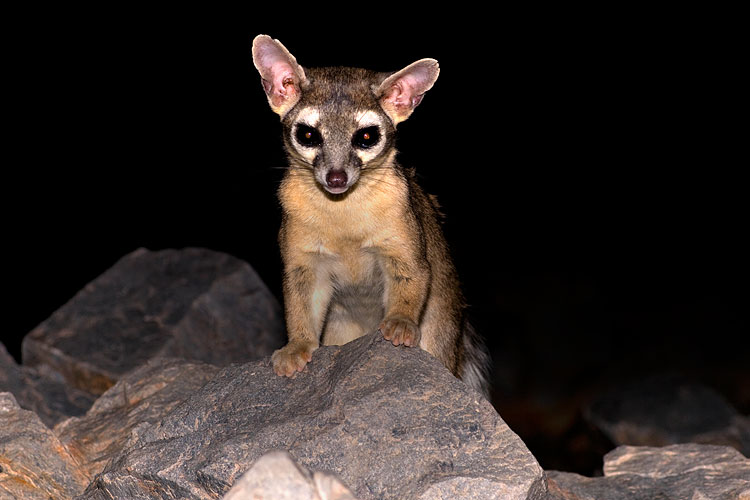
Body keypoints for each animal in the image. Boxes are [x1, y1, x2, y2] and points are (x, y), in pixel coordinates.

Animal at [253, 34, 490, 398]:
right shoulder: (303, 260)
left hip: (441, 332)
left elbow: (413, 277)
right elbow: (299, 304)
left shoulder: (403, 242)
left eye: (366, 137)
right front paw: (297, 346)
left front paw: (401, 322)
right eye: (308, 135)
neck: (343, 216)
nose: (336, 178)